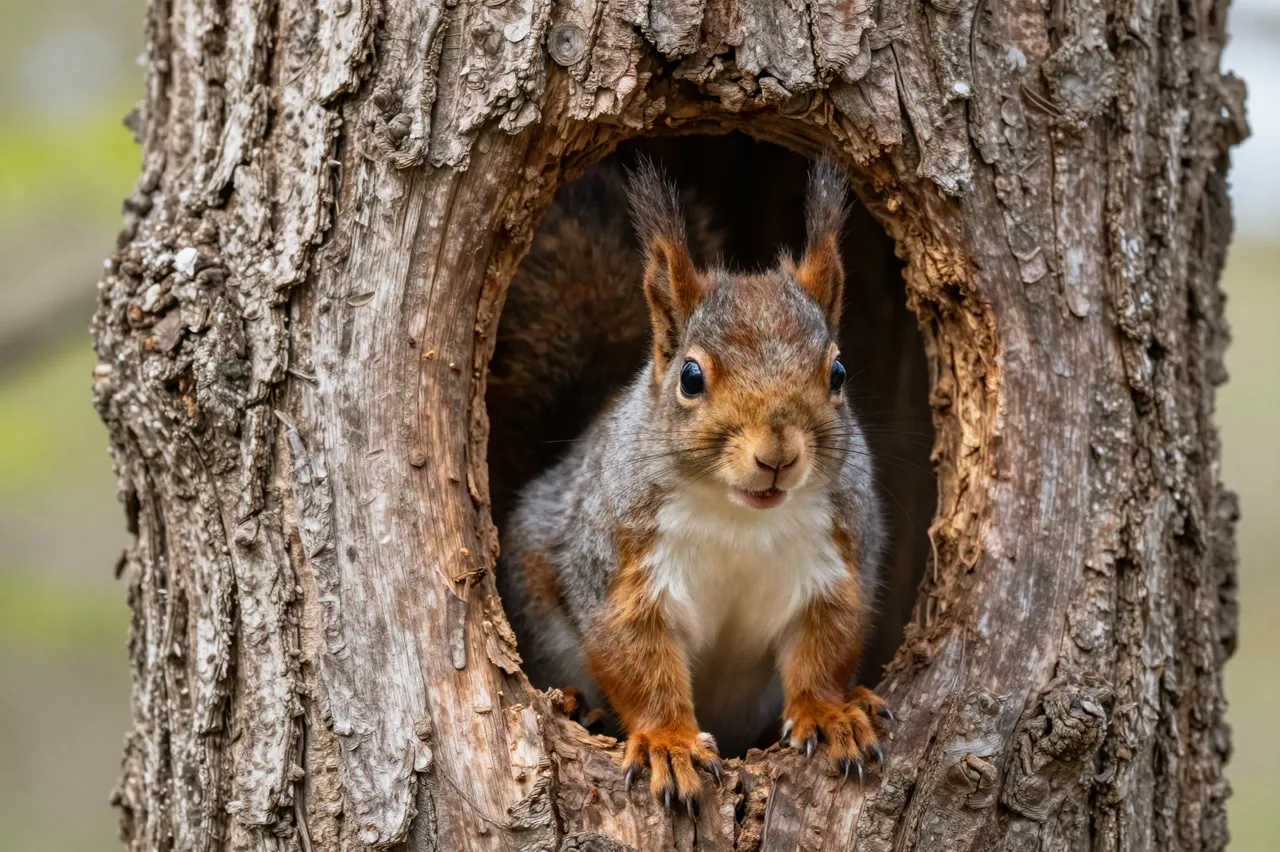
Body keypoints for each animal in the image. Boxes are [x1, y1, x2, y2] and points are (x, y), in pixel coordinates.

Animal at [495, 156, 891, 811]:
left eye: (837, 372)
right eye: (690, 376)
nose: (777, 454)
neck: (741, 517)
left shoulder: (838, 561)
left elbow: (825, 650)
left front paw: (833, 715)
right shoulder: (619, 566)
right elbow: (638, 661)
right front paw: (668, 743)